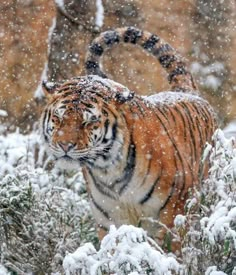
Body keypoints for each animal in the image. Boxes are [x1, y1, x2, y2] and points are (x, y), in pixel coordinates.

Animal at [40, 27, 218, 251]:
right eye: (58, 117)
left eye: (89, 122)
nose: (65, 145)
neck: (107, 170)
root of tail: (185, 91)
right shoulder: (109, 218)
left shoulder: (174, 212)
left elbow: (167, 252)